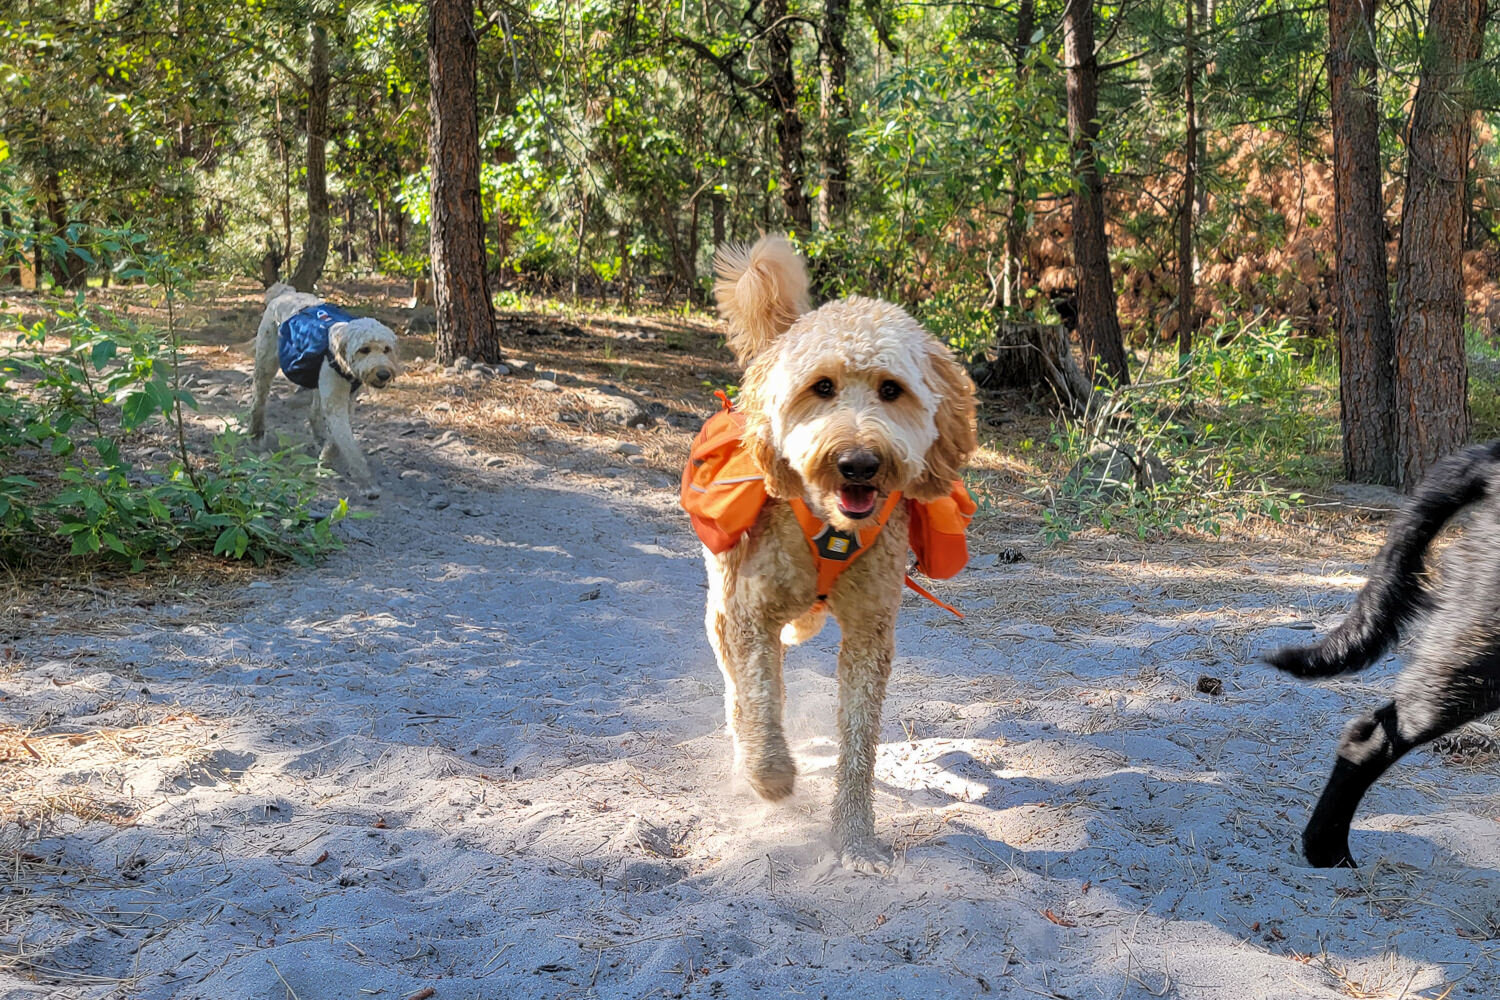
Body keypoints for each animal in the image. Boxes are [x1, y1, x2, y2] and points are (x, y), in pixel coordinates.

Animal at [252, 283, 405, 494]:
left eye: (386, 349)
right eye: (364, 349)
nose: (383, 374)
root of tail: (285, 293)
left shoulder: (346, 399)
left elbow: (337, 438)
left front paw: (326, 459)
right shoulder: (335, 402)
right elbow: (348, 443)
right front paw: (365, 481)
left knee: (314, 412)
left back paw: (318, 438)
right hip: (266, 364)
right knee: (259, 400)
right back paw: (256, 435)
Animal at [705, 232, 984, 869]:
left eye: (891, 390)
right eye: (822, 388)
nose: (859, 463)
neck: (832, 531)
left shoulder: (869, 635)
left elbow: (858, 745)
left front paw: (855, 839)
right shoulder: (749, 614)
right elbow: (758, 697)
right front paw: (770, 776)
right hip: (722, 605)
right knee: (740, 688)